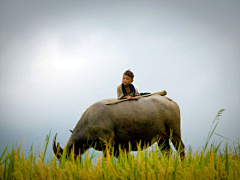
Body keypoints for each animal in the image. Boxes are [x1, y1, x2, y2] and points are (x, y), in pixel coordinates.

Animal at [53, 94, 186, 159]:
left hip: (174, 134)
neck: (90, 119)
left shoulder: (107, 144)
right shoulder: (117, 148)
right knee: (167, 152)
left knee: (181, 148)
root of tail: (170, 101)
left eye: (66, 158)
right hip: (162, 139)